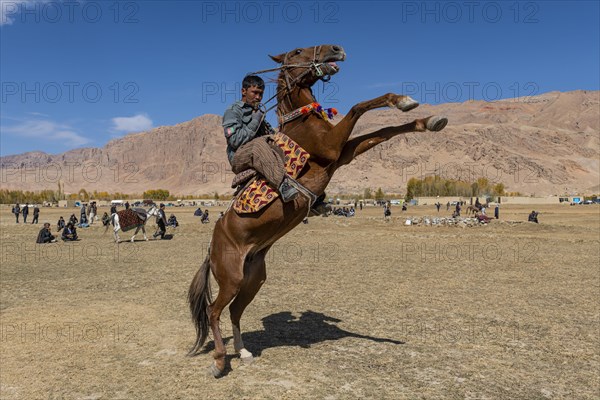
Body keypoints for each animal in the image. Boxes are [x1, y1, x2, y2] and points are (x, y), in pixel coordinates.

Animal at [190, 45, 448, 376]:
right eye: (298, 50)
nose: (336, 49)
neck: (301, 122)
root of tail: (212, 246)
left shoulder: (342, 154)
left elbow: (384, 131)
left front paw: (426, 118)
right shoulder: (332, 148)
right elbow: (359, 106)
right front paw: (403, 102)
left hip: (253, 278)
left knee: (234, 311)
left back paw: (243, 351)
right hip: (231, 277)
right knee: (213, 311)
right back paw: (220, 360)